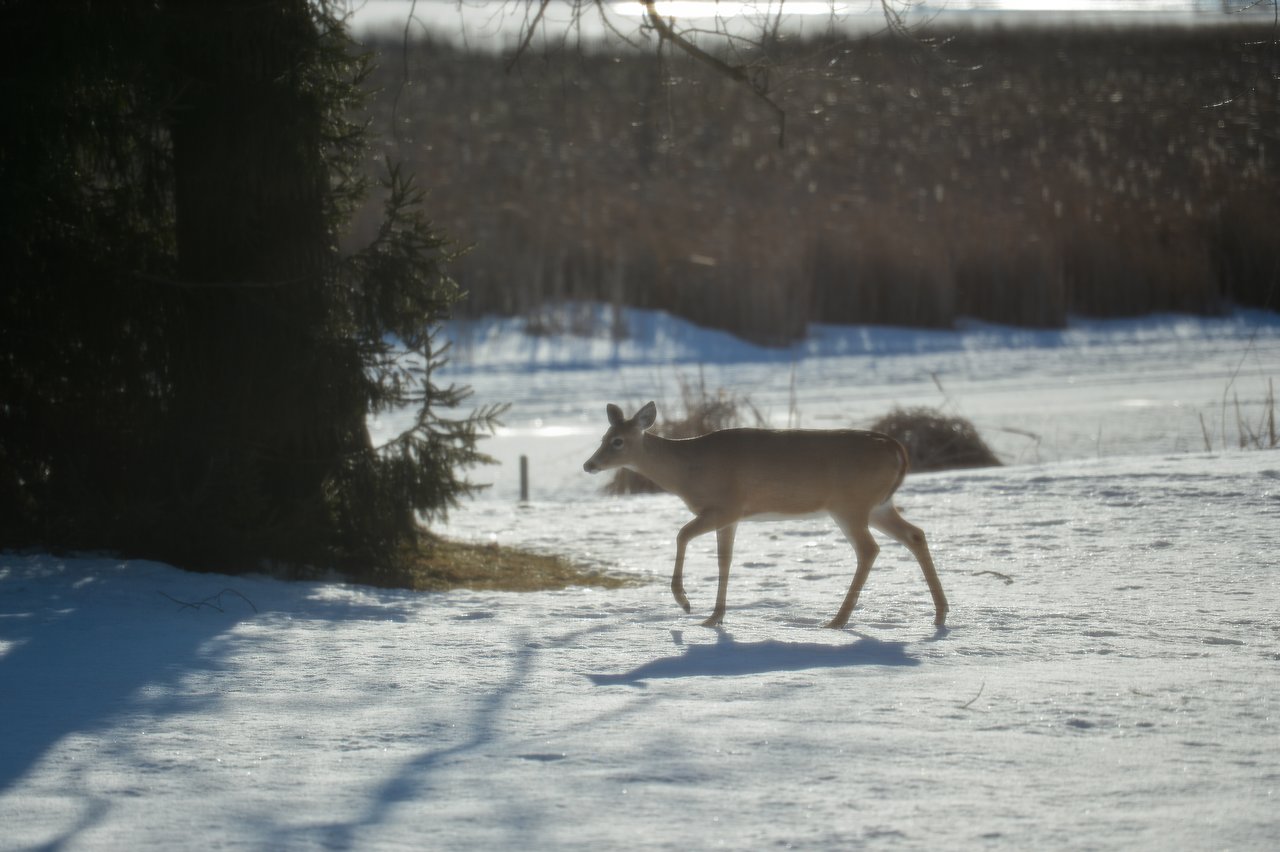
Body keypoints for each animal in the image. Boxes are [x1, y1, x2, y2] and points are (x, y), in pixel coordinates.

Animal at [583, 402, 948, 629]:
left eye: (617, 441)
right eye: (602, 437)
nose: (589, 464)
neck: (688, 469)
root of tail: (897, 448)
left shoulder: (727, 505)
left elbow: (681, 534)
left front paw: (684, 602)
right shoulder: (729, 516)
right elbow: (724, 560)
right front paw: (714, 617)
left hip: (850, 504)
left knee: (869, 549)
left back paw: (838, 620)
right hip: (877, 505)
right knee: (915, 534)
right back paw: (940, 613)